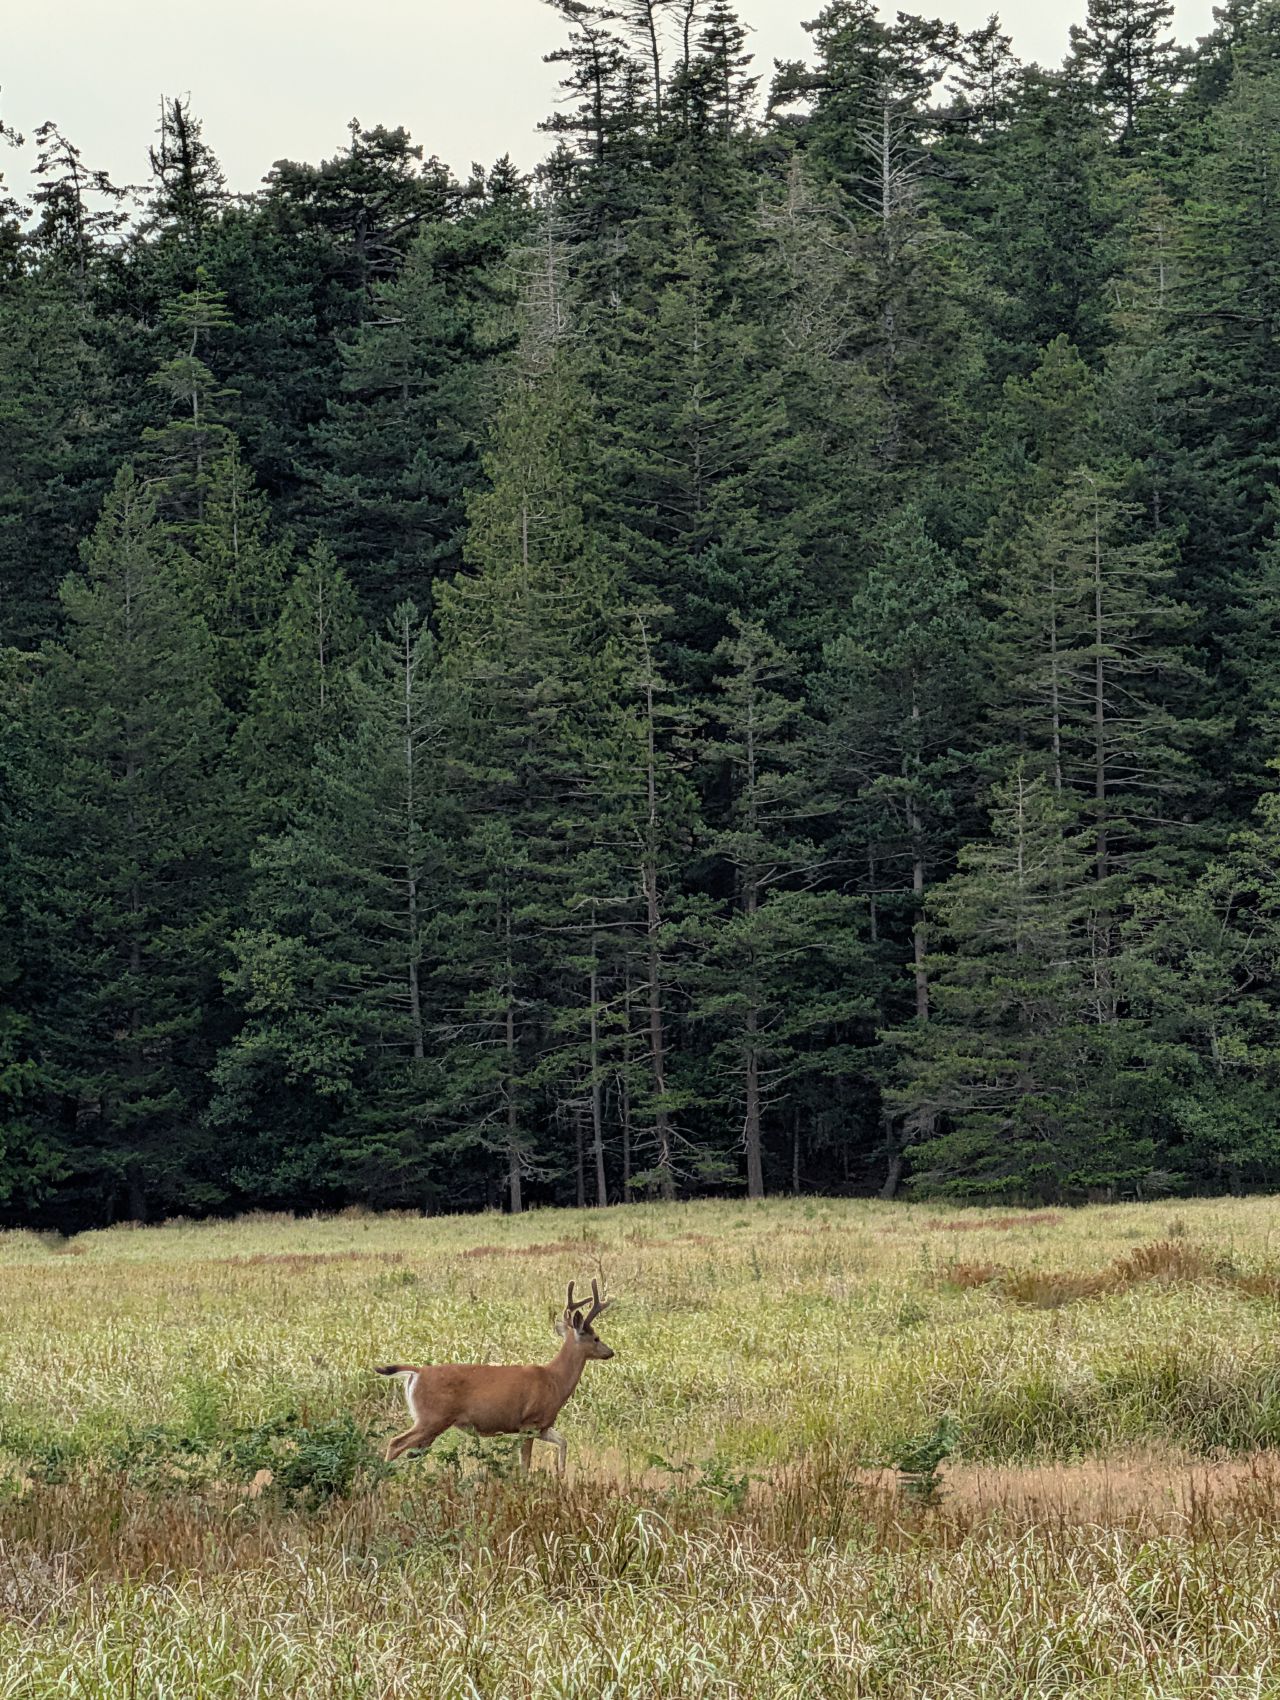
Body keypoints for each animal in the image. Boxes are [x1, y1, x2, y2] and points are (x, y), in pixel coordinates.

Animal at [375, 1278, 615, 1473]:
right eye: (596, 1337)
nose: (610, 1352)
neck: (555, 1381)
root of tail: (418, 1372)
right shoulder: (529, 1422)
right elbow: (525, 1464)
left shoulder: (543, 1426)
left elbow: (563, 1442)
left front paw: (561, 1475)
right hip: (432, 1417)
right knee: (395, 1443)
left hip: (430, 1422)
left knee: (413, 1453)